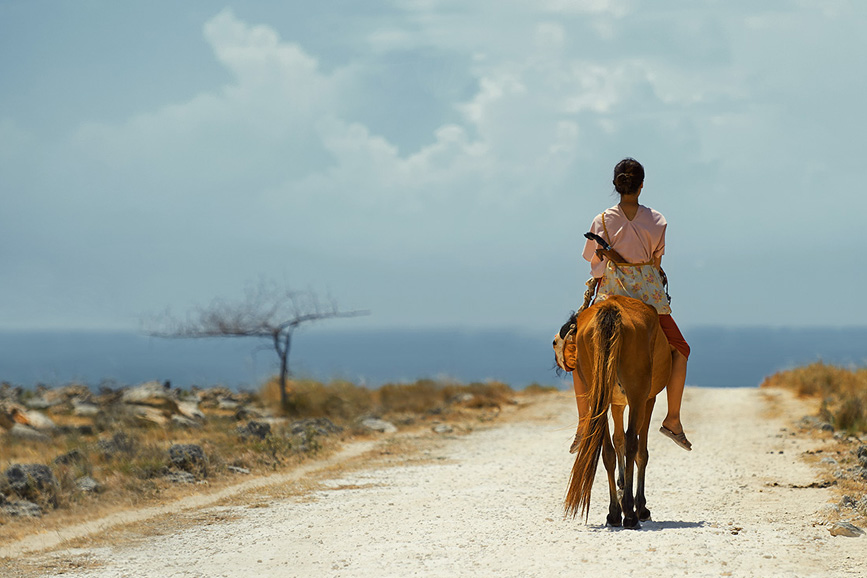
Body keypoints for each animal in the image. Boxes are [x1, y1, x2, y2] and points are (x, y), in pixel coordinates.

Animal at [560, 294, 676, 524]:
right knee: (632, 443)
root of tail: (611, 308)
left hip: (599, 396)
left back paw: (614, 512)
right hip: (637, 393)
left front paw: (622, 491)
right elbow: (639, 451)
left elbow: (617, 440)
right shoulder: (648, 399)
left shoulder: (616, 403)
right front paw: (639, 505)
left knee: (607, 450)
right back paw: (630, 513)